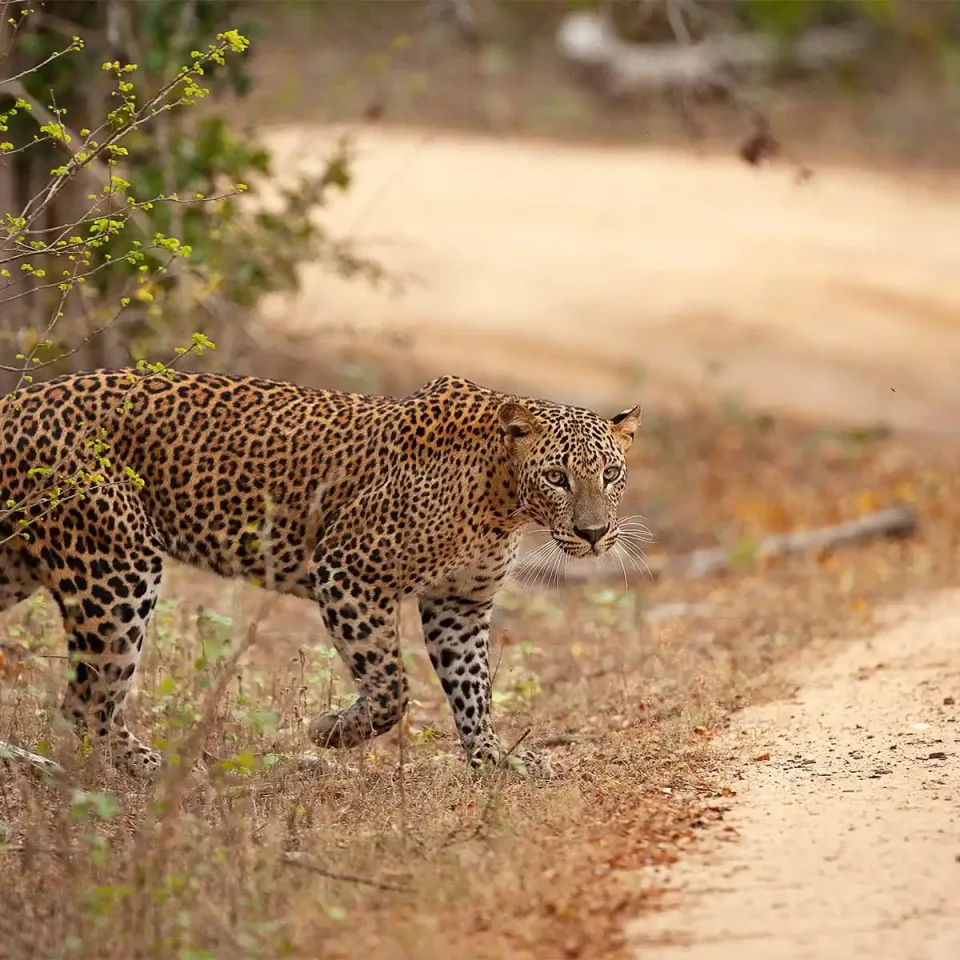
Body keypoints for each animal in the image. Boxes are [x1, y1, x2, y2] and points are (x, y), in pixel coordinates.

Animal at [0, 369, 640, 780]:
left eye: (610, 475)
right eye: (557, 477)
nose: (593, 534)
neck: (503, 498)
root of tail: (16, 402)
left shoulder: (459, 604)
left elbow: (473, 688)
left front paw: (493, 760)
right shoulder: (349, 570)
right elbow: (391, 688)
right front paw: (329, 733)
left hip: (19, 565)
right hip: (117, 567)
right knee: (86, 701)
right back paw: (156, 769)